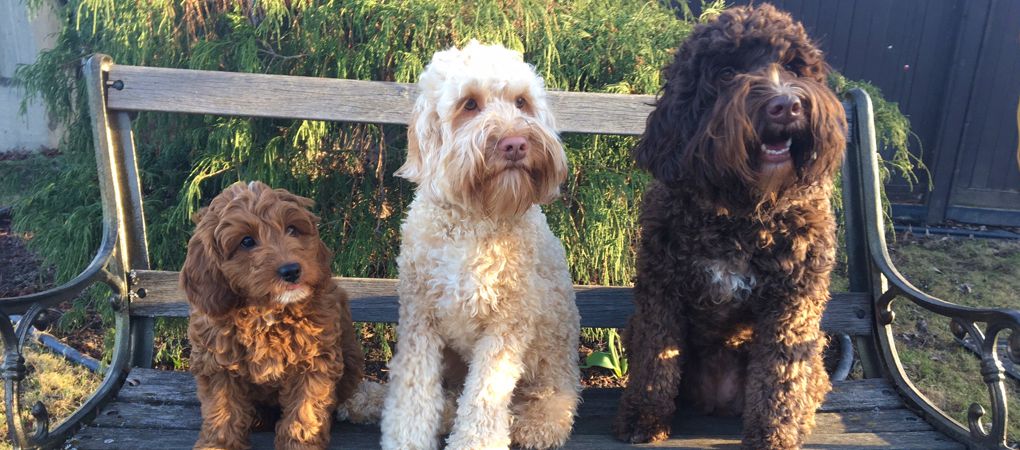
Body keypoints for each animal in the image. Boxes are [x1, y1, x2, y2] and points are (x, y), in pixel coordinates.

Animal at [181, 180, 365, 446]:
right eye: (246, 241)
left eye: (292, 229)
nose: (291, 271)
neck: (266, 312)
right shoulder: (217, 364)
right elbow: (223, 411)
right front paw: (217, 445)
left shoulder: (314, 361)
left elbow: (305, 411)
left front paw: (300, 444)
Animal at [612, 4, 844, 448]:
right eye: (725, 73)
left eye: (793, 66)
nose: (786, 106)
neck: (741, 211)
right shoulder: (661, 290)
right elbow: (654, 359)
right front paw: (644, 418)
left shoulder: (794, 301)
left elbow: (780, 373)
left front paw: (772, 433)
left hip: (816, 352)